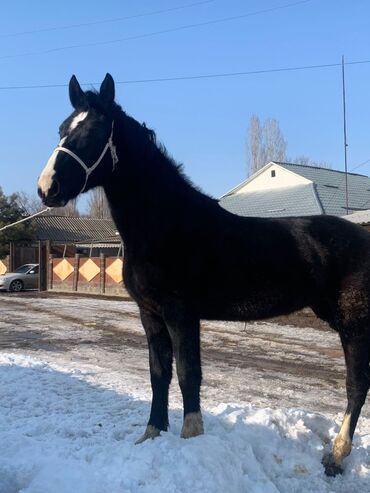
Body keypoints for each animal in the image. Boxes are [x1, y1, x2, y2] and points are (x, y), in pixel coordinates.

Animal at [37, 73, 370, 472]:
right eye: (61, 130)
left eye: (93, 133)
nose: (47, 188)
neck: (166, 225)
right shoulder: (150, 314)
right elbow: (159, 374)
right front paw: (152, 434)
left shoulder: (181, 314)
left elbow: (188, 373)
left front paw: (190, 436)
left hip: (353, 323)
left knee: (356, 384)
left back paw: (336, 454)